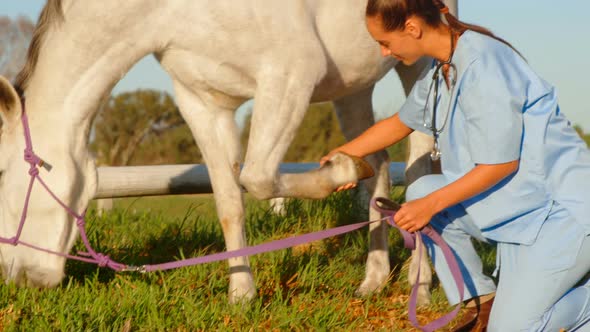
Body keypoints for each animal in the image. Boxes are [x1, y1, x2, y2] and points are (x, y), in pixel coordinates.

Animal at [0, 0, 458, 304]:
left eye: (4, 182)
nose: (20, 280)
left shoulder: (289, 78)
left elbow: (257, 177)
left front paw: (341, 169)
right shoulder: (202, 103)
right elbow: (228, 201)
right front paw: (242, 294)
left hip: (417, 66)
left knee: (416, 170)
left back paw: (419, 285)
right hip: (353, 83)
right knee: (379, 165)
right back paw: (373, 280)